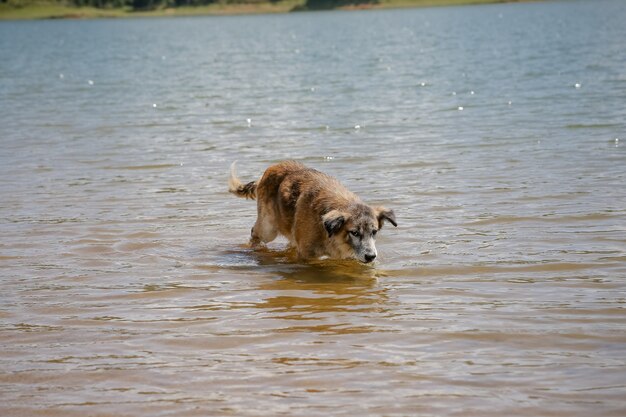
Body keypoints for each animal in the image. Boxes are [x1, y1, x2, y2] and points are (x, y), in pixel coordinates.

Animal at [228, 160, 394, 264]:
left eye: (374, 232)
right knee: (255, 234)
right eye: (354, 232)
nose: (371, 256)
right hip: (268, 229)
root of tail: (268, 171)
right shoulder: (307, 254)